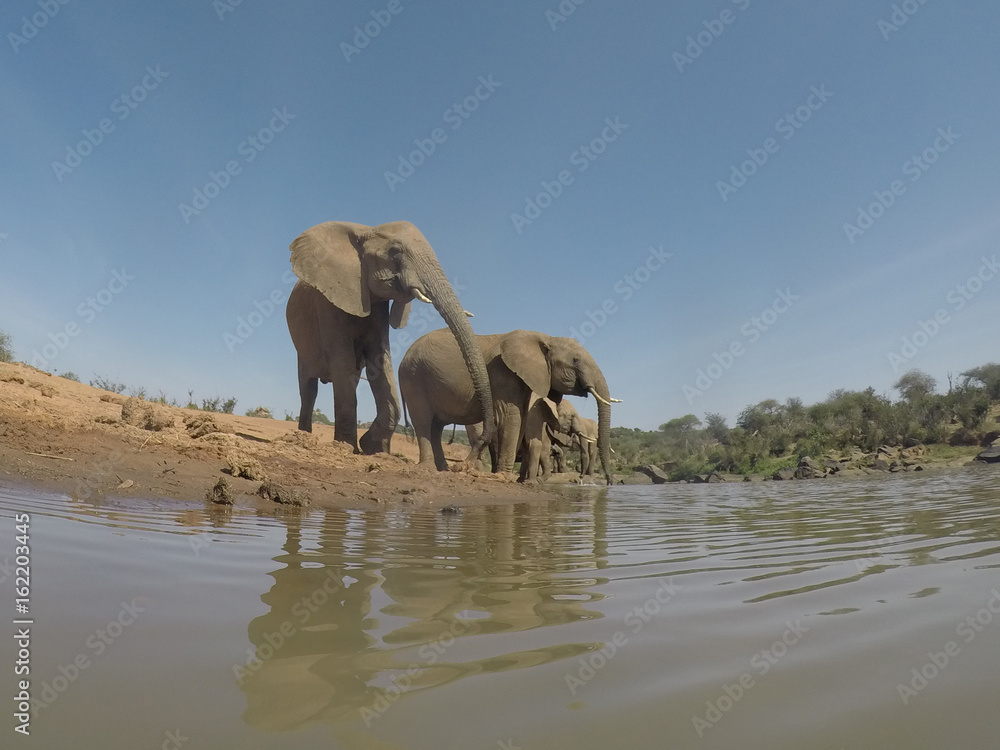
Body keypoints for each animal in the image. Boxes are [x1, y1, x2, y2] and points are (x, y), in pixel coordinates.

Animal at [285, 221, 494, 456]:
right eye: (395, 251)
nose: (482, 442)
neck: (365, 230)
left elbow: (379, 359)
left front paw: (373, 448)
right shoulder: (328, 303)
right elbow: (342, 361)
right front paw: (348, 447)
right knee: (309, 388)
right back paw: (303, 437)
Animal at [398, 328, 618, 484]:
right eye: (575, 360)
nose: (610, 482)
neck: (546, 338)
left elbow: (521, 418)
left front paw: (512, 477)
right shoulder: (502, 374)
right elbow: (512, 417)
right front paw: (504, 477)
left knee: (436, 427)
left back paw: (444, 469)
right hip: (414, 379)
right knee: (423, 422)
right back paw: (429, 468)